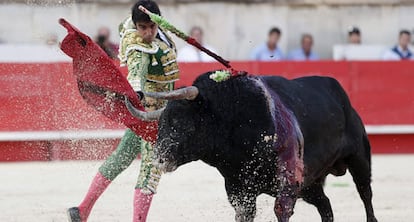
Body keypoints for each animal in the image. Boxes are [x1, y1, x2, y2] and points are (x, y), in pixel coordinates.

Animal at [127, 72, 378, 221]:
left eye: (181, 122)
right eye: (160, 125)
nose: (159, 159)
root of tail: (344, 99)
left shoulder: (287, 183)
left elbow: (281, 211)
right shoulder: (239, 190)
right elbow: (244, 214)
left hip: (359, 159)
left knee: (365, 193)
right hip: (310, 183)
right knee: (325, 204)